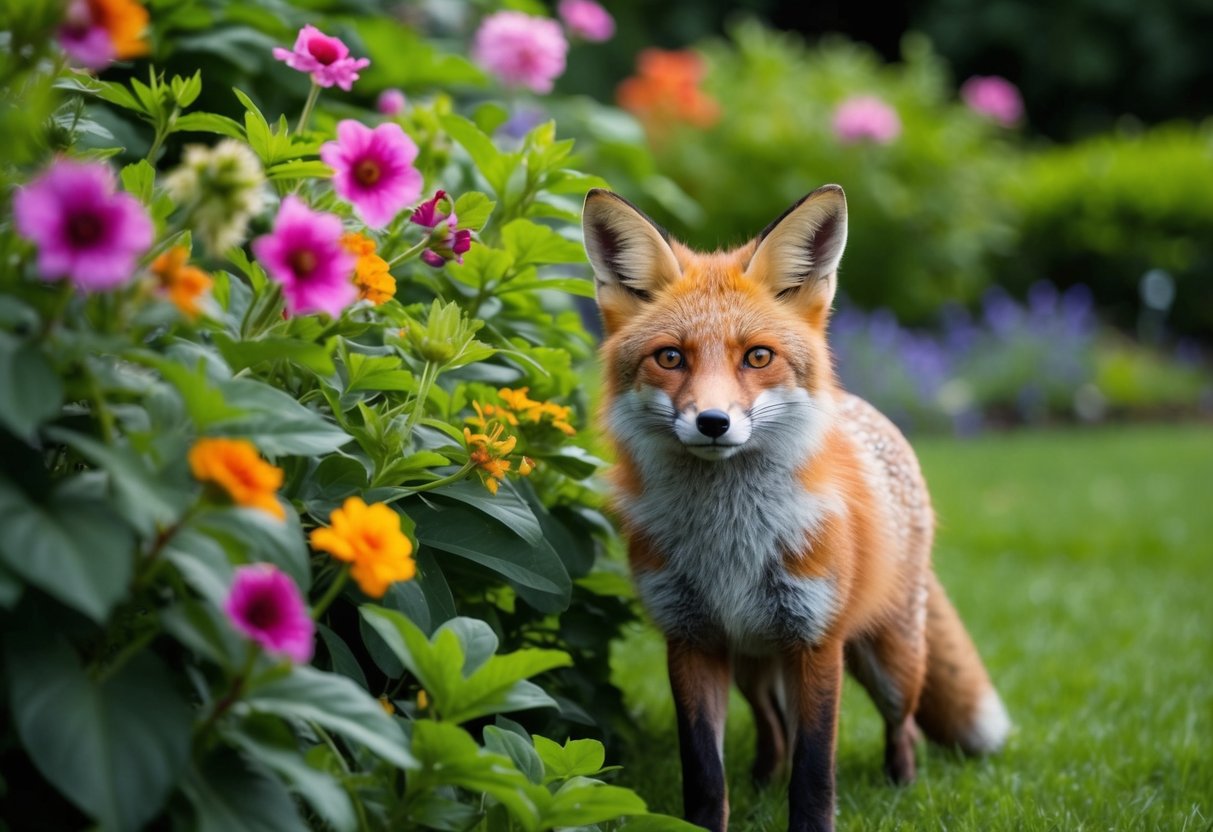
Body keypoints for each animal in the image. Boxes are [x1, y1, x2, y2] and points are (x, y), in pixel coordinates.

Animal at [581, 185, 1011, 832]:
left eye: (758, 357)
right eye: (671, 358)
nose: (713, 422)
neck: (728, 541)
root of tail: (863, 408)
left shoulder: (815, 640)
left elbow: (814, 773)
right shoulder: (691, 639)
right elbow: (704, 773)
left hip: (889, 660)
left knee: (903, 725)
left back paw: (901, 786)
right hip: (753, 665)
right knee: (774, 730)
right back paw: (761, 780)